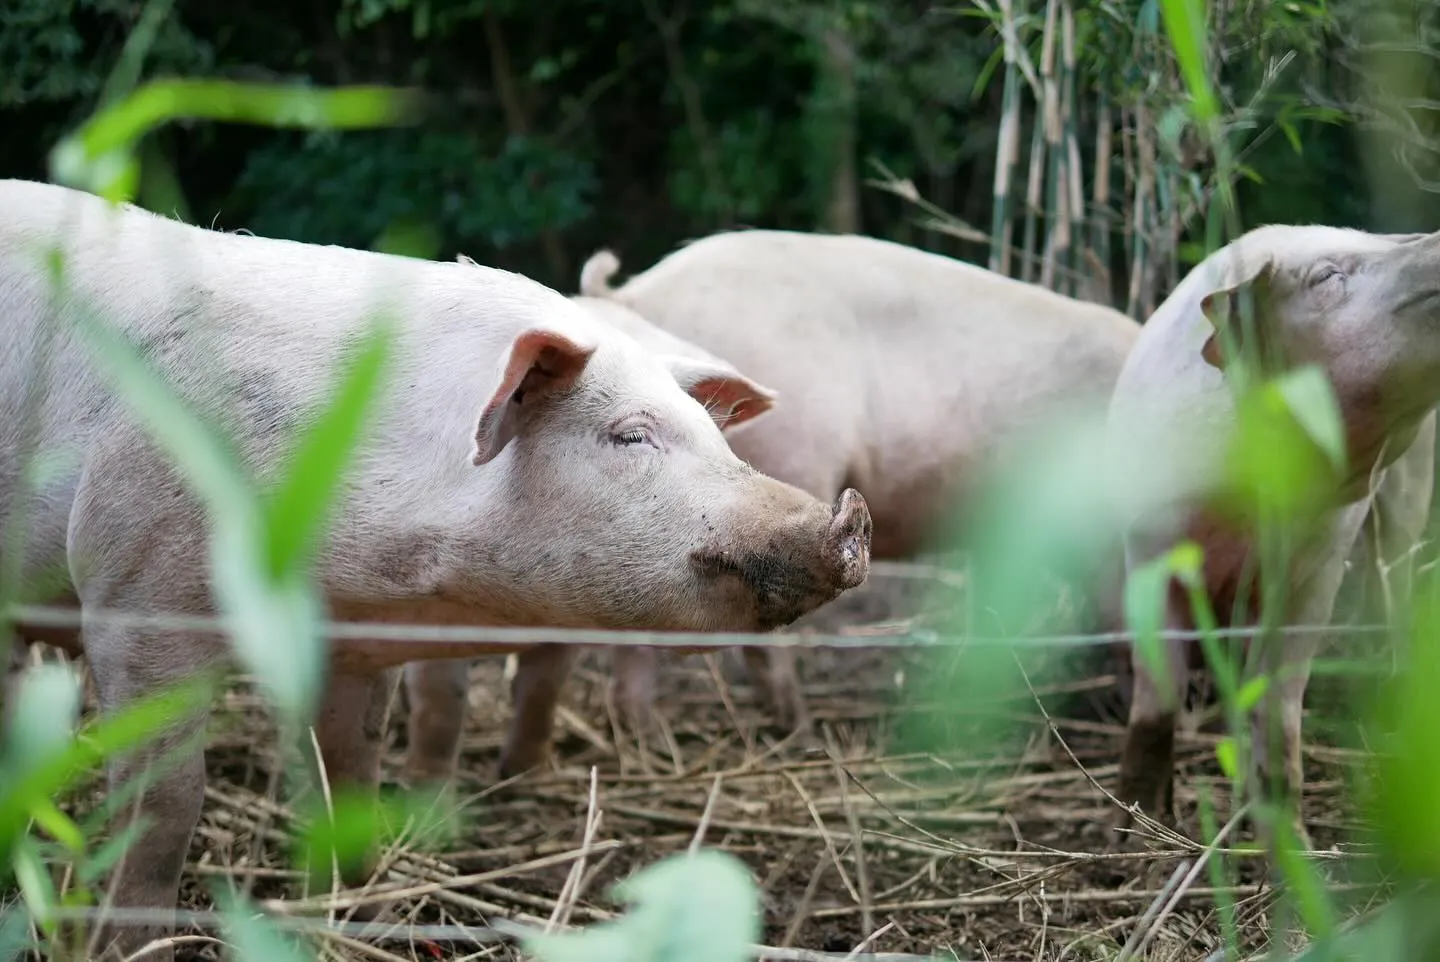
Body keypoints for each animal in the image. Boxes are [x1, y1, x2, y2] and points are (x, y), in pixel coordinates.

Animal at [0, 182, 869, 962]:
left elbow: (350, 774)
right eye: (628, 435)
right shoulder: (133, 593)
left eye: (716, 437)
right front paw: (126, 949)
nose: (847, 519)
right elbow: (166, 800)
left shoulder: (352, 637)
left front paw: (352, 911)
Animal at [1105, 221, 1440, 846]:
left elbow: (1280, 706)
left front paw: (1293, 845)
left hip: (1408, 499)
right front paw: (1131, 837)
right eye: (1326, 276)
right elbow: (1157, 698)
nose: (1431, 237)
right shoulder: (1149, 543)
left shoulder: (1319, 563)